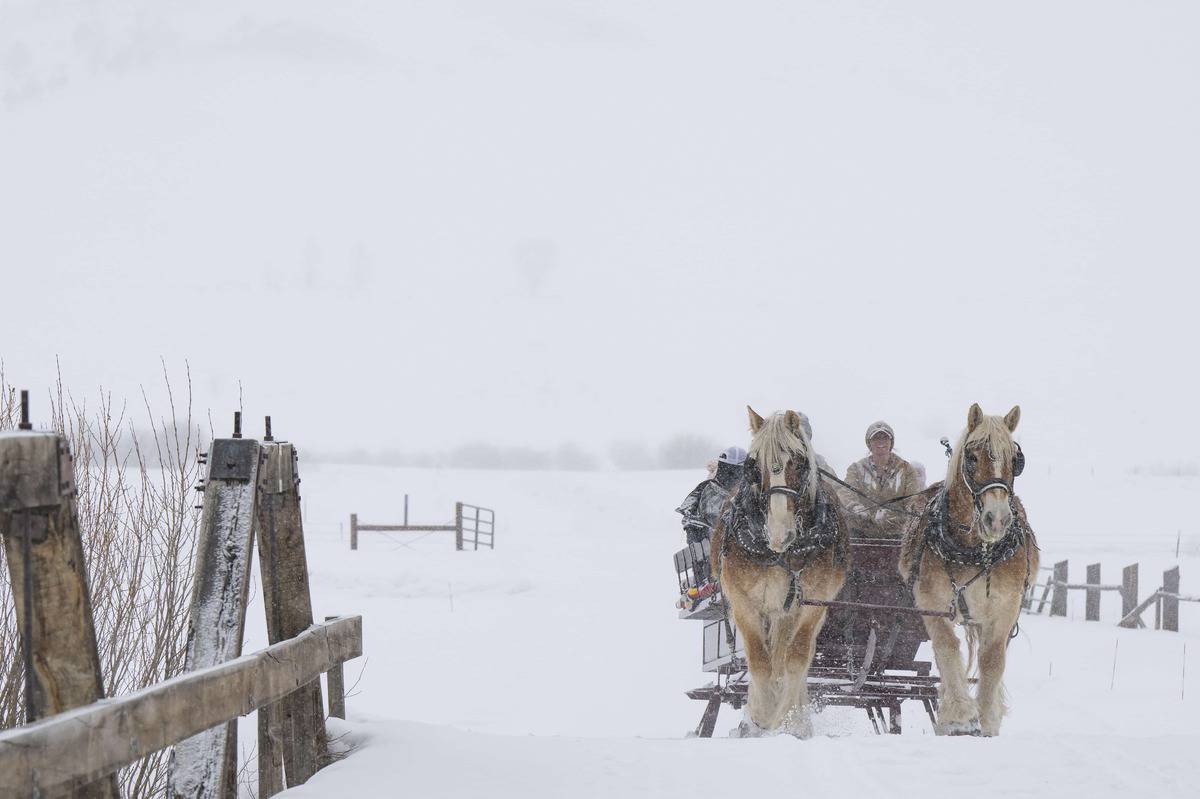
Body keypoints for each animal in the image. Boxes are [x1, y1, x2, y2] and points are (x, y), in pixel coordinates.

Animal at [705, 407, 849, 739]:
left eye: (797, 461)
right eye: (753, 466)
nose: (779, 533)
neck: (781, 553)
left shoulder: (814, 602)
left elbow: (796, 657)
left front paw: (790, 719)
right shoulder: (743, 601)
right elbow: (759, 660)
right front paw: (758, 716)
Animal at [902, 405, 1041, 734]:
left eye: (1015, 460)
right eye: (972, 457)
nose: (997, 519)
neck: (973, 552)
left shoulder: (1005, 608)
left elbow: (992, 660)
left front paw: (988, 718)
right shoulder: (932, 603)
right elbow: (947, 648)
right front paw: (958, 713)